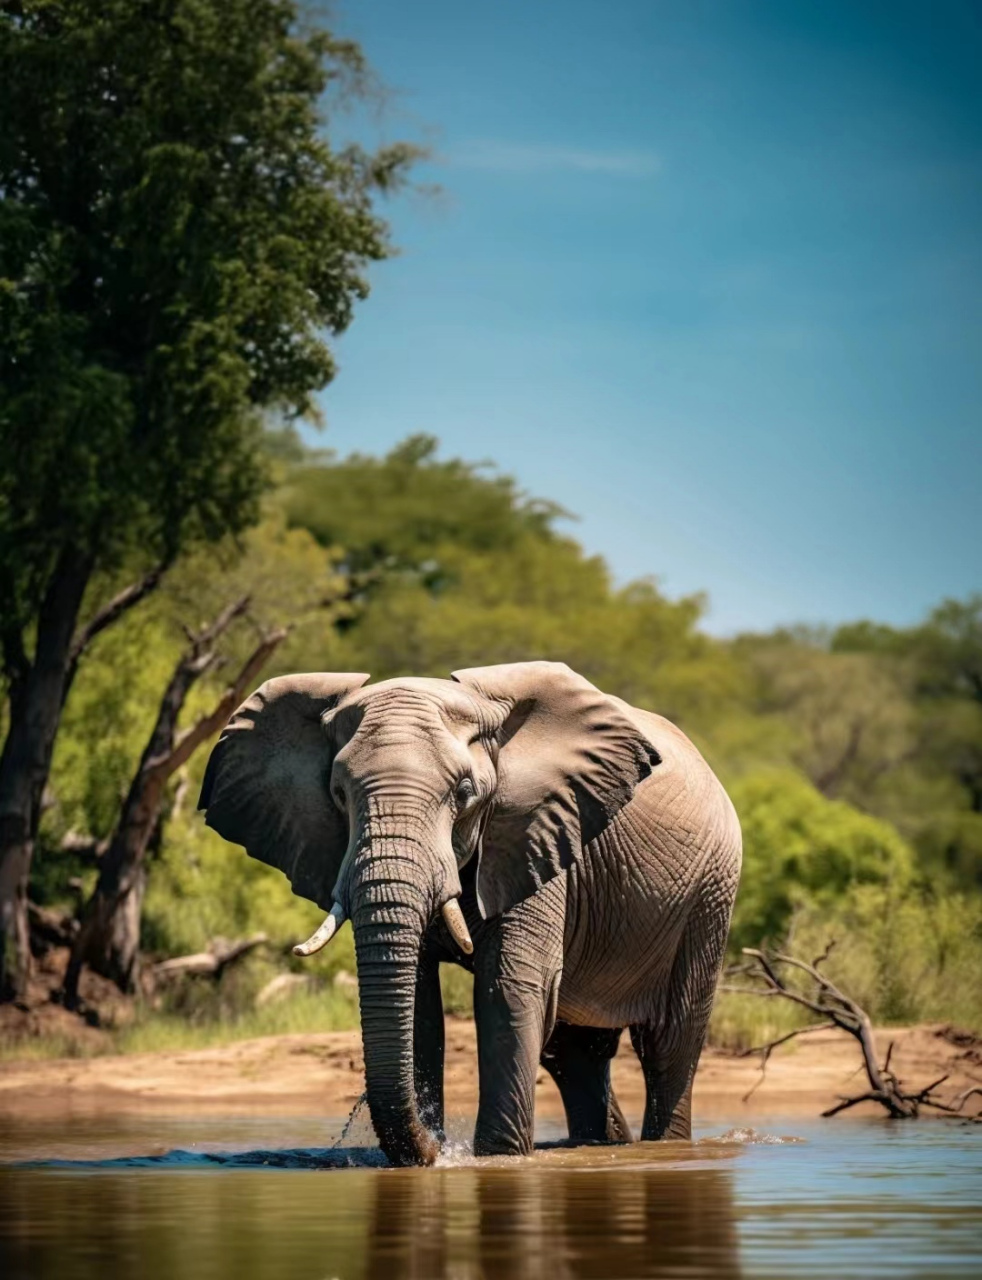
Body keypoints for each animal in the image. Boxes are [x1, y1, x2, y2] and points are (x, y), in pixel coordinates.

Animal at [197, 665, 737, 1167]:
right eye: (337, 794)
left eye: (463, 792)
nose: (436, 1148)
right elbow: (420, 1003)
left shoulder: (537, 830)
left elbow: (508, 986)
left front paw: (497, 1159)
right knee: (575, 1053)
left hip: (710, 894)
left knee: (668, 1042)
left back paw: (664, 1146)